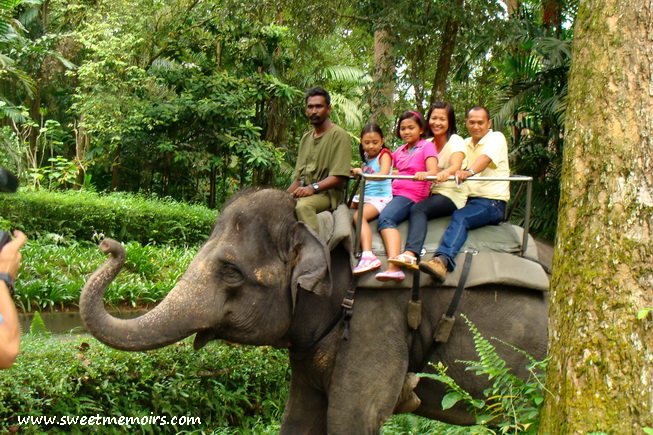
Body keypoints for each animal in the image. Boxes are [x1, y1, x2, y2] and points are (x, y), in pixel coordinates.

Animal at [80, 188, 549, 434]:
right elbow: (300, 415)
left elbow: (353, 418)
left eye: (230, 271)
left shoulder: (378, 315)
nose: (108, 244)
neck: (325, 232)